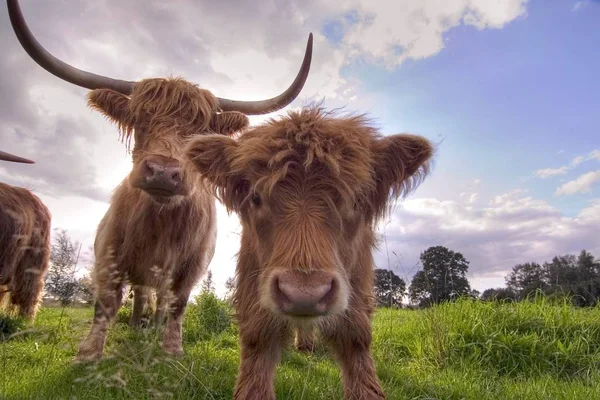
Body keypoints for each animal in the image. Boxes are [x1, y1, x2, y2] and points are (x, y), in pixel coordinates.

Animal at [8, 0, 314, 360]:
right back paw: (137, 326)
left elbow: (177, 303)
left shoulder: (193, 265)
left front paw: (171, 348)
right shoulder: (108, 252)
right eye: (139, 120)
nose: (164, 172)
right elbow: (106, 301)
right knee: (141, 295)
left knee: (161, 300)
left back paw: (153, 329)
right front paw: (89, 351)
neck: (160, 221)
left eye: (200, 130)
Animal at [185, 104, 434, 398]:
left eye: (356, 199)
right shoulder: (251, 278)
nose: (304, 294)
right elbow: (257, 341)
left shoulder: (358, 280)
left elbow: (356, 340)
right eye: (256, 197)